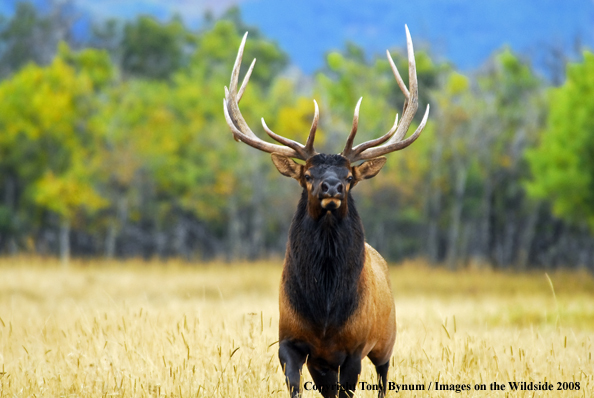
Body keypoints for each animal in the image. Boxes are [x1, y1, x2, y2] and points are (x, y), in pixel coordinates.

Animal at [224, 26, 428, 396]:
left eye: (349, 177)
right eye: (307, 175)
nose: (331, 188)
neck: (325, 314)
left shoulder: (354, 348)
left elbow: (348, 388)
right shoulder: (290, 340)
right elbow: (295, 385)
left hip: (386, 343)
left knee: (383, 379)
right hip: (324, 362)